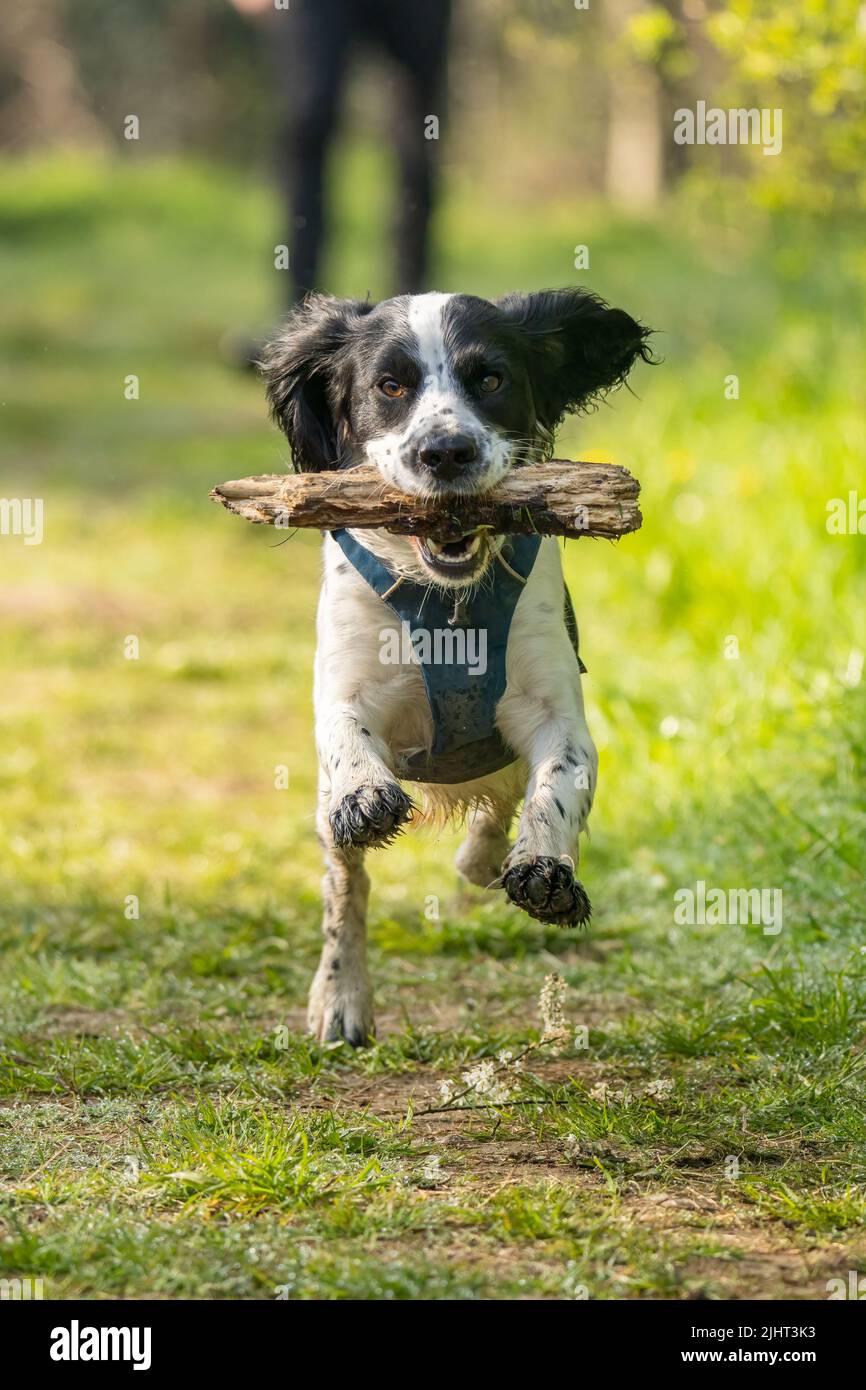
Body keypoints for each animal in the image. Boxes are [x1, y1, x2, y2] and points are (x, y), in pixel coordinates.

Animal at [262, 290, 650, 1045]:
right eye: (390, 386)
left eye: (491, 378)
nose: (446, 451)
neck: (448, 603)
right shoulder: (349, 684)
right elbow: (348, 738)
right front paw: (366, 794)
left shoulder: (553, 709)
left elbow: (556, 779)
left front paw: (544, 868)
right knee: (345, 887)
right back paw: (341, 998)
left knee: (499, 806)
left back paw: (486, 859)